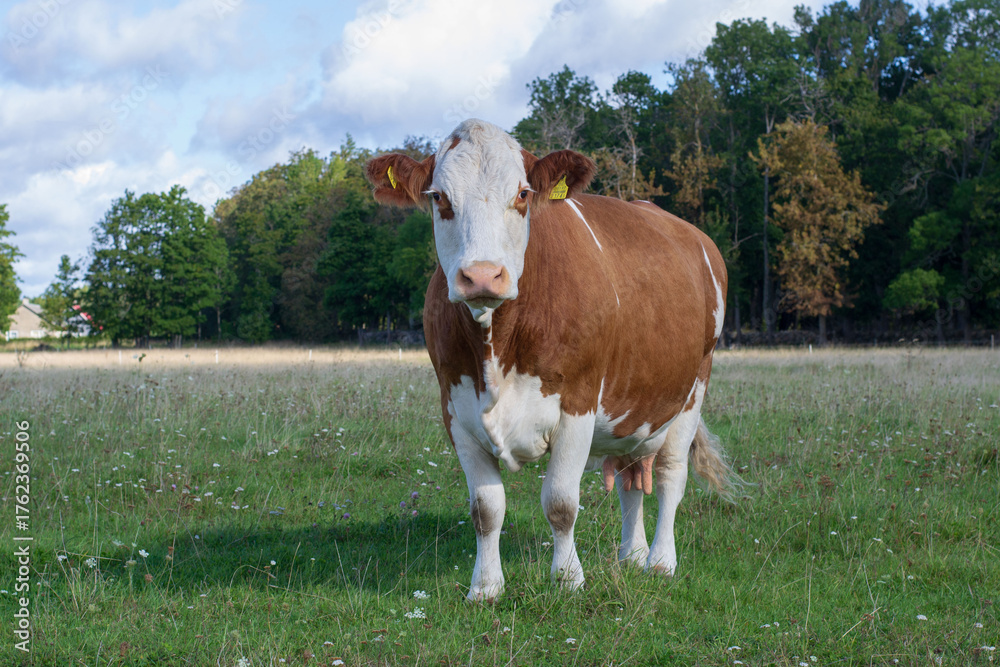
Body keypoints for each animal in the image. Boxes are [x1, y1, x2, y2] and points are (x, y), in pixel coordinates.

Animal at [366, 119, 740, 602]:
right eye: (439, 197)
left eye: (523, 194)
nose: (482, 275)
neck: (497, 348)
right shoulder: (455, 410)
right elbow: (486, 508)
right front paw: (485, 587)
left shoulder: (578, 403)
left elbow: (561, 502)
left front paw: (568, 579)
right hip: (634, 403)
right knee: (631, 481)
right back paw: (632, 556)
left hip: (694, 388)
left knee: (670, 476)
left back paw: (660, 561)